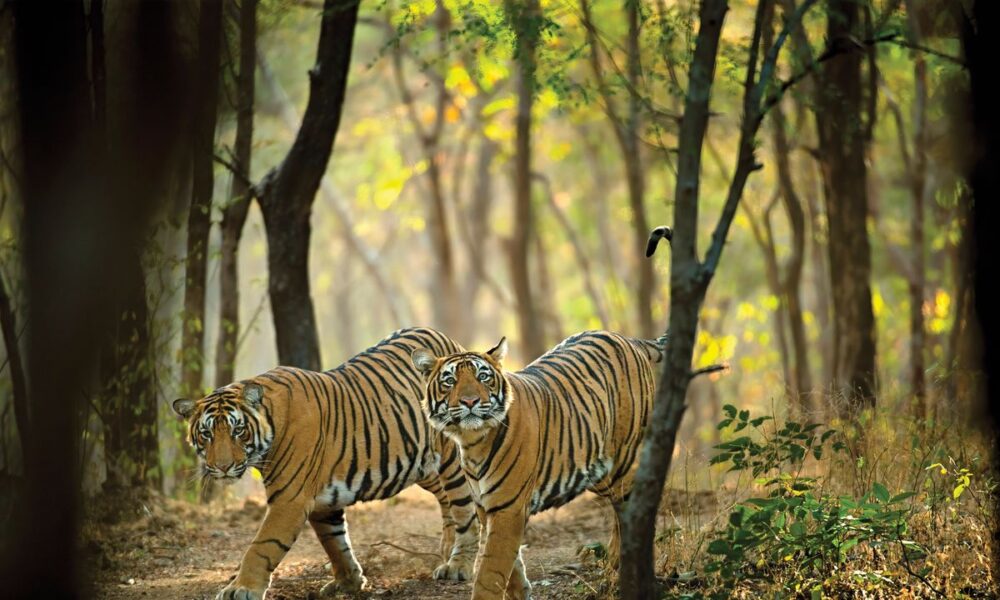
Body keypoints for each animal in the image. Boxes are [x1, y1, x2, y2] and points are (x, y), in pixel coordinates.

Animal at [172, 327, 480, 600]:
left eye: (238, 430)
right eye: (207, 434)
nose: (223, 467)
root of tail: (449, 341)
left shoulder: (290, 499)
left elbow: (261, 546)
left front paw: (240, 589)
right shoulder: (323, 500)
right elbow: (335, 543)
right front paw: (349, 583)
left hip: (451, 461)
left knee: (466, 510)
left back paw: (458, 566)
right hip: (423, 465)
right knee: (447, 502)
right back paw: (447, 549)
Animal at [411, 331, 665, 600]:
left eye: (483, 377)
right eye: (449, 381)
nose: (470, 401)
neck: (472, 440)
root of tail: (628, 339)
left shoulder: (507, 506)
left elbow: (490, 570)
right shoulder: (485, 505)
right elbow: (509, 564)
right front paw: (521, 591)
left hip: (625, 462)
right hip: (598, 472)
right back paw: (616, 559)